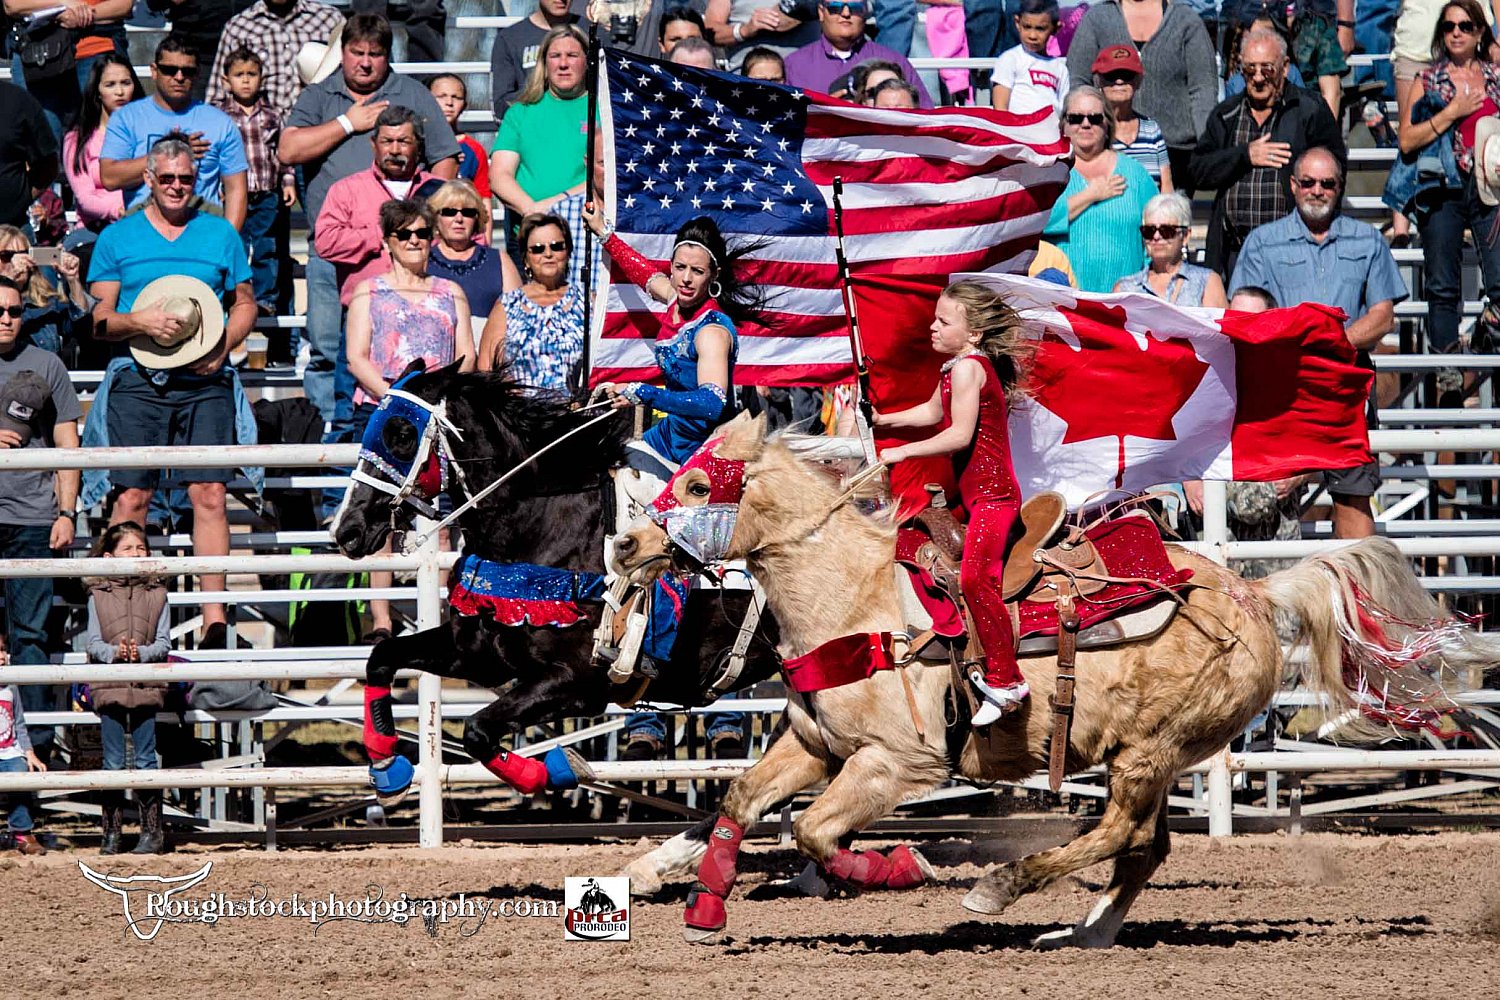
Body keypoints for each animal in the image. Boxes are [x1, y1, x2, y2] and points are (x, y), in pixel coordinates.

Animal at [333, 365, 780, 803]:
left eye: (402, 435)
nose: (347, 531)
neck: (547, 528)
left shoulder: (577, 682)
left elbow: (478, 730)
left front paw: (563, 770)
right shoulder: (477, 655)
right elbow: (383, 658)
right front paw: (386, 767)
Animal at [609, 413, 1488, 947]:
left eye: (698, 485)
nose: (625, 547)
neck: (852, 595)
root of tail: (1255, 592)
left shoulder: (895, 763)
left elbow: (816, 833)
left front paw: (903, 870)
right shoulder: (813, 742)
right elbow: (739, 800)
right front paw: (704, 904)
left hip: (1148, 752)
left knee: (1121, 833)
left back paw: (1001, 890)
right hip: (1147, 756)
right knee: (1144, 848)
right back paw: (1085, 932)